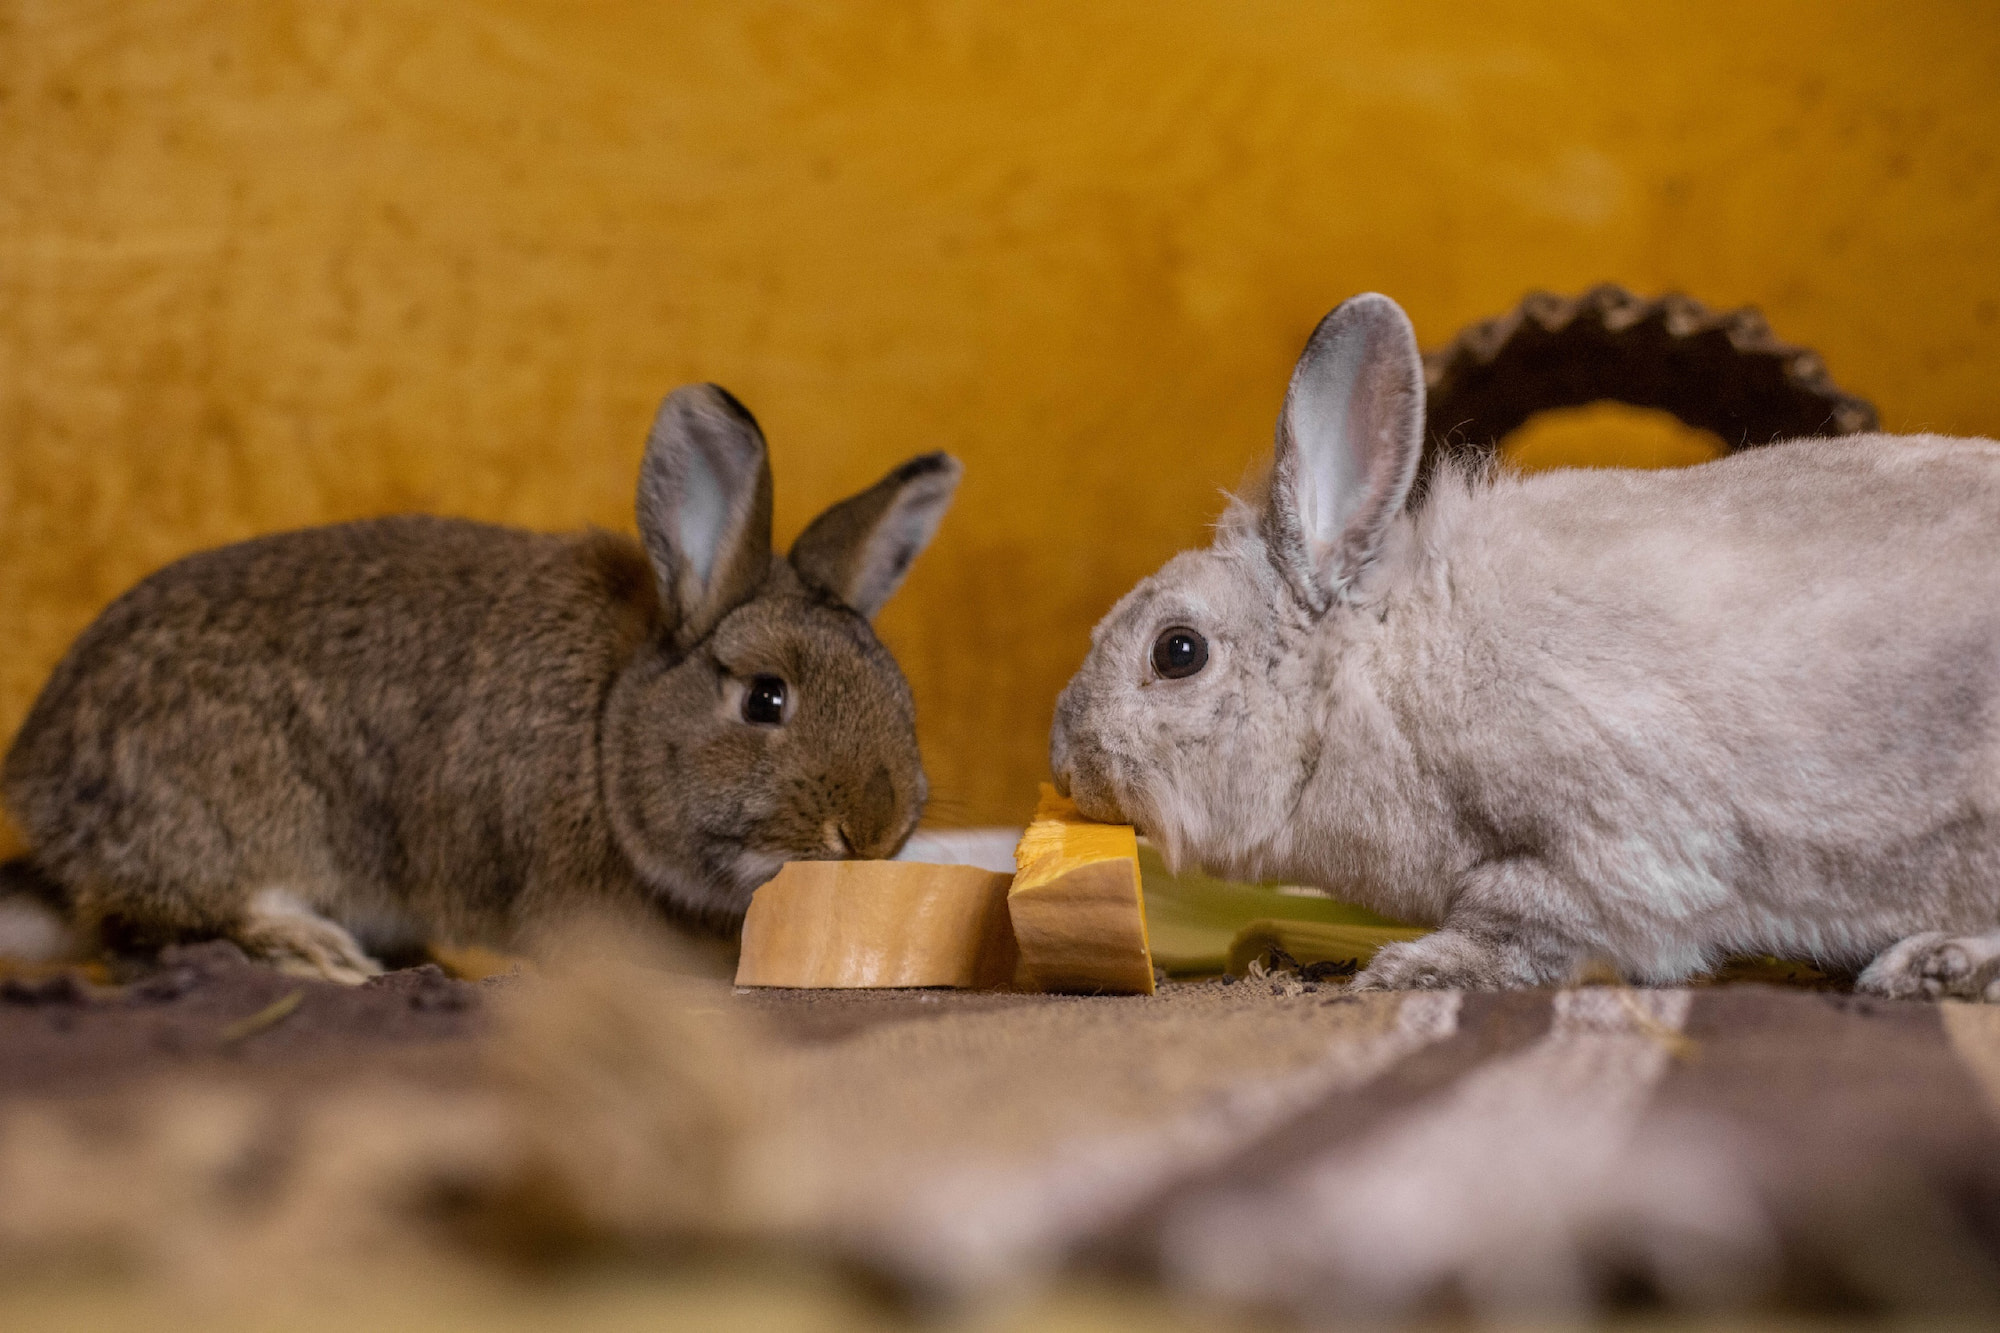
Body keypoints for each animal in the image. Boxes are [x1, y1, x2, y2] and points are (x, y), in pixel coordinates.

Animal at [3, 382, 960, 976]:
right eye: (765, 697)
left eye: (901, 696)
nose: (873, 831)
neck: (608, 730)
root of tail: (40, 780)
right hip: (229, 814)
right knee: (150, 927)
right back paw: (316, 953)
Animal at [1048, 294, 2000, 996]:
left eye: (1177, 651)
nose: (1063, 757)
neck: (1379, 681)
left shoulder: (1595, 851)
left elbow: (1522, 919)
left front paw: (1415, 968)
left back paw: (1928, 965)